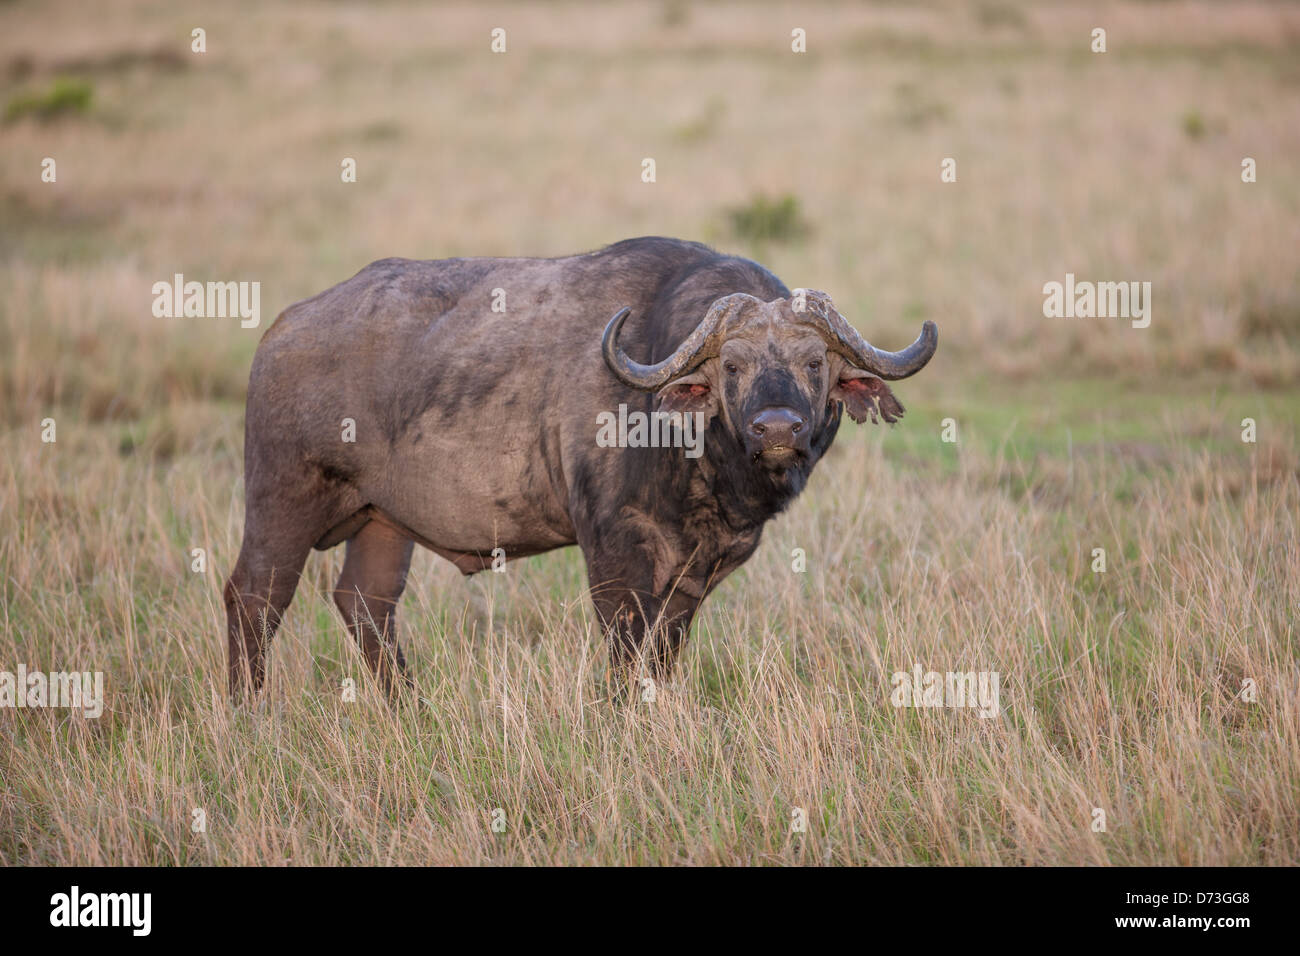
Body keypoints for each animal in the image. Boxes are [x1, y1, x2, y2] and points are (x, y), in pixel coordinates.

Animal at [223, 239, 935, 697]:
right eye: (732, 366)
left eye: (814, 363)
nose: (779, 428)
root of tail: (282, 330)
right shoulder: (614, 551)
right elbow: (625, 651)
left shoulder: (697, 572)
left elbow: (663, 654)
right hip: (281, 504)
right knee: (253, 599)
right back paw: (249, 712)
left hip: (382, 524)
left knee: (365, 604)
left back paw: (406, 707)